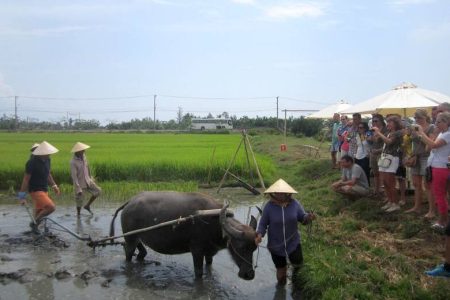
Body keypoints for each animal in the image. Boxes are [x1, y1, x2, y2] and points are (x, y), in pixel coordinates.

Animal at [109, 192, 256, 278]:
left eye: (254, 249)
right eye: (241, 247)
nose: (249, 274)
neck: (215, 222)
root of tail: (129, 202)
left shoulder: (209, 253)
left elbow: (209, 266)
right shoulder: (196, 250)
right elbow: (199, 273)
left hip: (137, 236)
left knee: (140, 251)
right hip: (130, 238)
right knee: (128, 253)